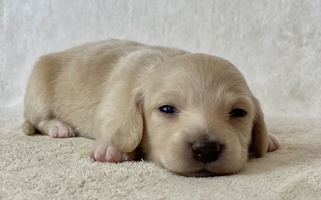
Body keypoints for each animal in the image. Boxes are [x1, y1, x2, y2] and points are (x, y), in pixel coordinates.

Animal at [21, 39, 278, 177]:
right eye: (167, 109)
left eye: (239, 113)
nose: (206, 149)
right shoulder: (114, 102)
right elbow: (112, 122)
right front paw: (112, 148)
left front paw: (269, 138)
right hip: (38, 87)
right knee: (39, 120)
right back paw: (60, 127)